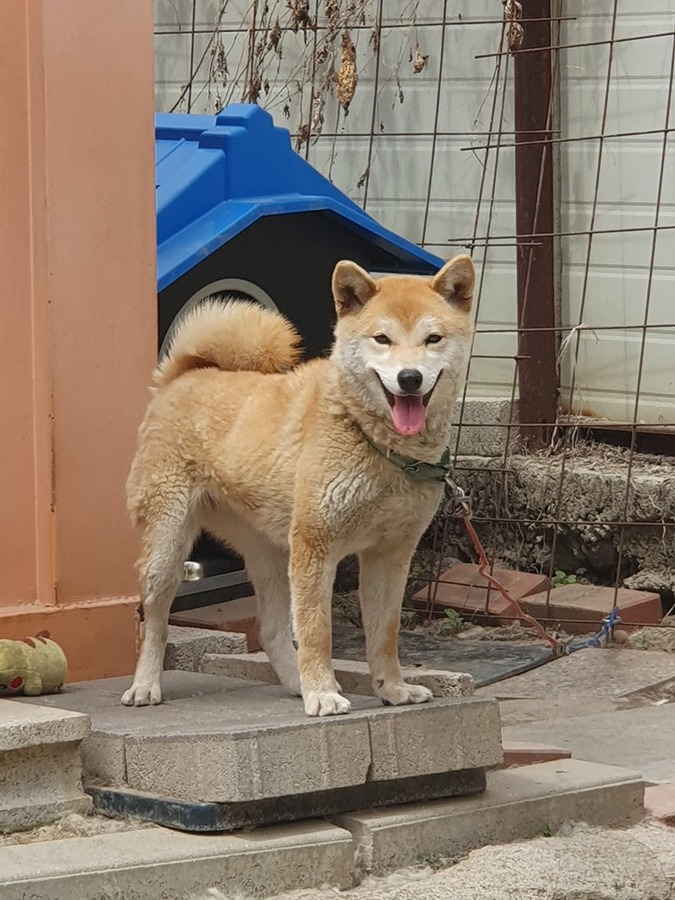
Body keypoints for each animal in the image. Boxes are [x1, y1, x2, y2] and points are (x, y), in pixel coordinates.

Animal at [124, 253, 478, 716]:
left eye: (433, 338)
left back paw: (296, 683)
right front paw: (324, 694)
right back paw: (146, 685)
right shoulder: (316, 545)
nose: (409, 378)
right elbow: (317, 632)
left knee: (271, 630)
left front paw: (393, 689)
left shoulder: (390, 554)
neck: (374, 442)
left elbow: (384, 634)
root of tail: (183, 374)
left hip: (271, 553)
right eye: (381, 339)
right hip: (168, 547)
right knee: (153, 621)